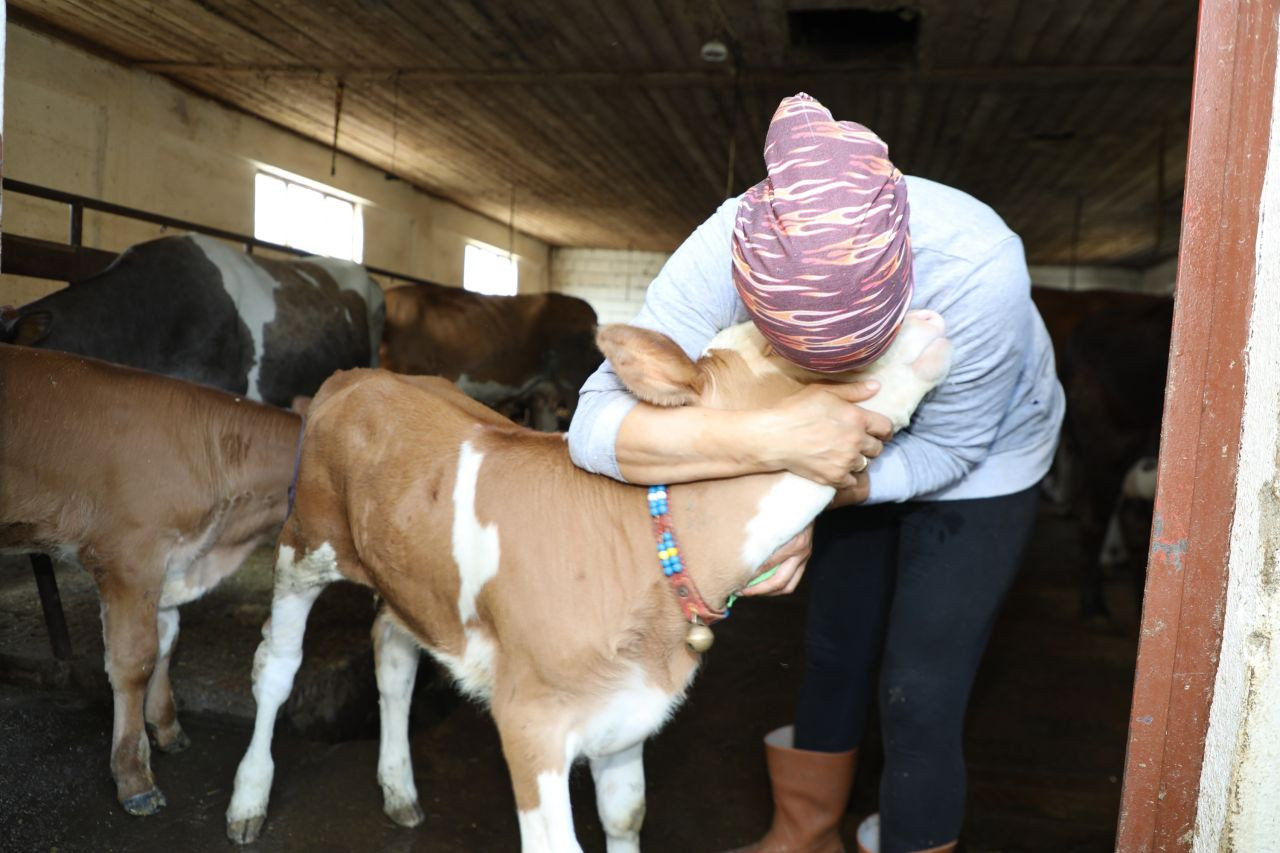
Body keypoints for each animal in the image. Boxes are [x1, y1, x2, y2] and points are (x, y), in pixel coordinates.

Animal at [0, 343, 300, 814]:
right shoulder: (128, 559)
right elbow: (133, 661)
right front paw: (133, 775)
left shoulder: (170, 565)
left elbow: (166, 642)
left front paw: (167, 729)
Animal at [225, 311, 957, 845]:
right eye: (806, 357)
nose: (929, 313)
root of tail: (361, 373)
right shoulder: (530, 720)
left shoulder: (626, 709)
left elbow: (626, 817)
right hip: (305, 543)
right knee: (276, 666)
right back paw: (249, 797)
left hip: (413, 580)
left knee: (394, 652)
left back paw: (400, 787)